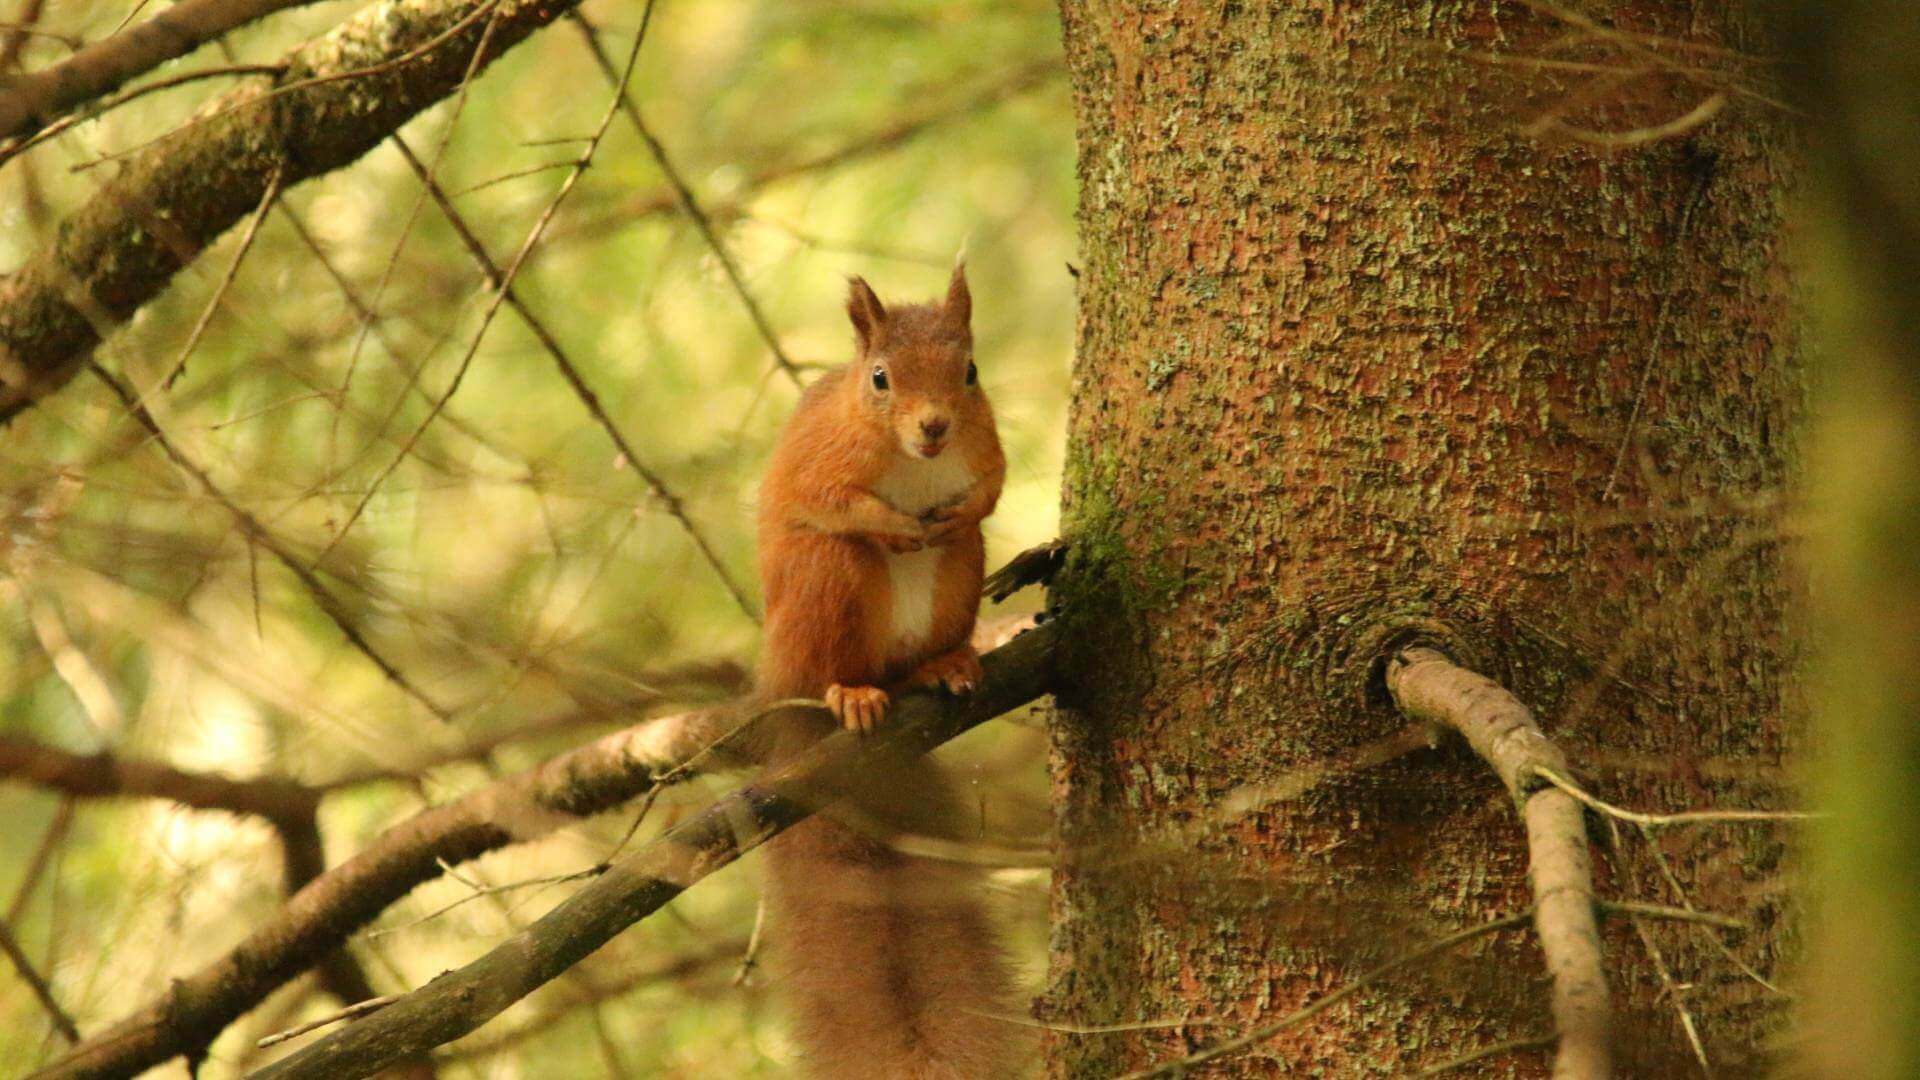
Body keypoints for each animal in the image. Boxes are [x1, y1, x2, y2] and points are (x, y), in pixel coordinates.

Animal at [752, 263, 1029, 1076]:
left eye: (969, 372)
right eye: (879, 378)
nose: (934, 427)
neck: (913, 463)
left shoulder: (985, 442)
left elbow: (993, 484)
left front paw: (964, 505)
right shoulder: (820, 460)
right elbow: (822, 499)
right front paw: (895, 524)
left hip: (960, 576)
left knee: (944, 590)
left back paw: (945, 665)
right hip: (824, 586)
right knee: (835, 640)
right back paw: (851, 693)